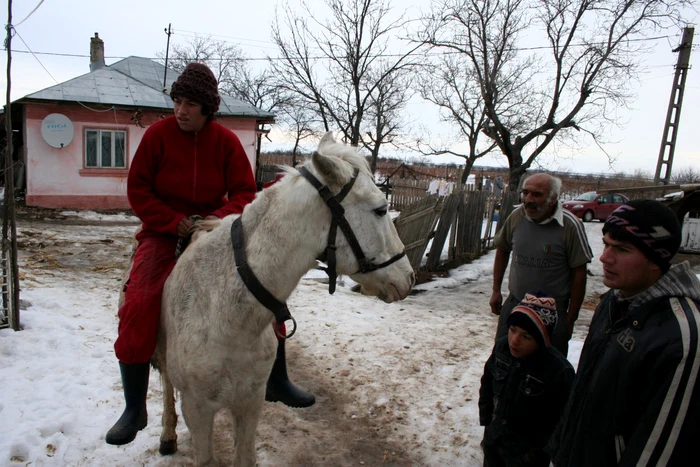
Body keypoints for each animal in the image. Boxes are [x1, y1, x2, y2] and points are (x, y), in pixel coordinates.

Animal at [154, 133, 412, 467]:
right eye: (381, 210)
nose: (409, 278)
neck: (224, 314)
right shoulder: (197, 409)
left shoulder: (250, 401)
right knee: (165, 385)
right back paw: (167, 435)